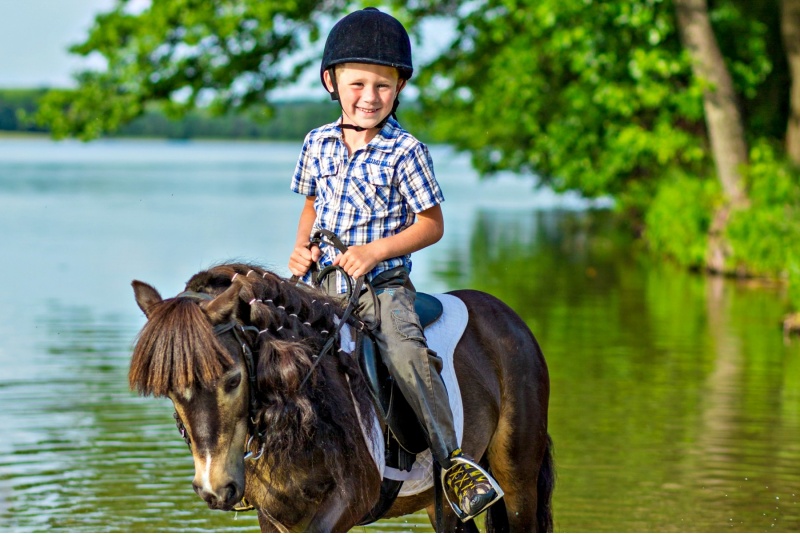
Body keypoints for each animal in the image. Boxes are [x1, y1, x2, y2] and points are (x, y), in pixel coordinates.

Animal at [130, 264, 556, 532]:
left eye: (233, 379)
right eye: (170, 391)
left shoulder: (350, 499)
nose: (215, 489)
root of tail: (509, 318)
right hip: (442, 505)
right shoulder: (275, 514)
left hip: (517, 479)